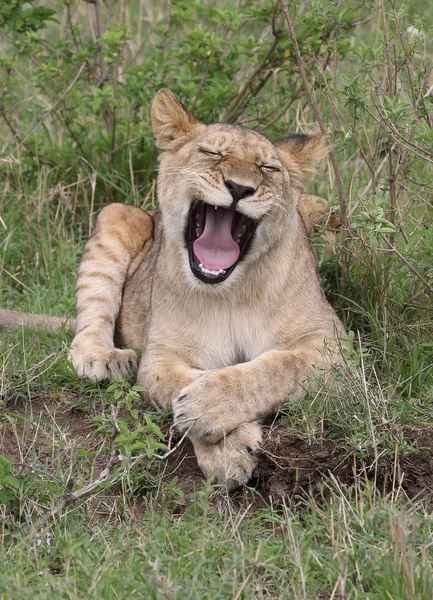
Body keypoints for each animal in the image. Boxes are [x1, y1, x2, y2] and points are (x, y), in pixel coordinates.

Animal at [0, 90, 344, 492]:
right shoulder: (162, 355)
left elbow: (275, 368)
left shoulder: (335, 346)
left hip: (321, 207)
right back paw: (105, 359)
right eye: (211, 152)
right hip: (118, 214)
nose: (240, 188)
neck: (232, 290)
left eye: (268, 168)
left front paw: (207, 405)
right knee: (88, 326)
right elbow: (177, 380)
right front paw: (227, 446)